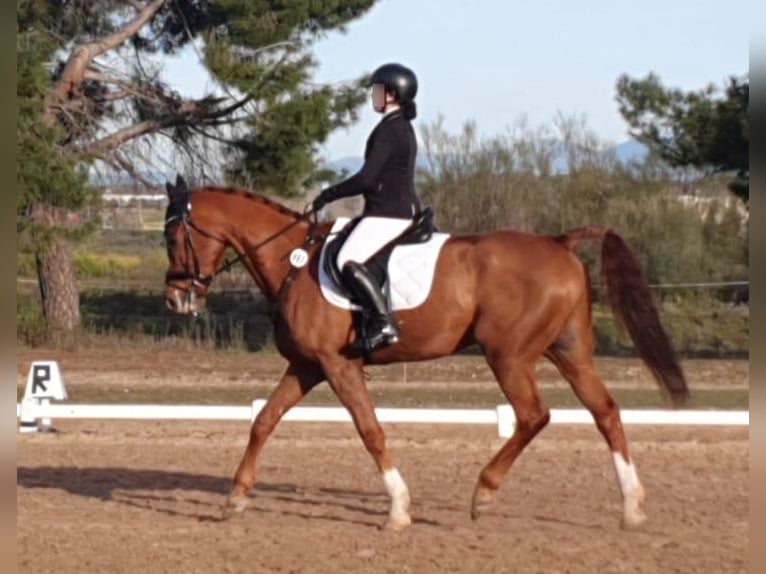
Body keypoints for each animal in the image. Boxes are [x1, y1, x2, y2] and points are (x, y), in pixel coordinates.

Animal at [164, 179, 688, 532]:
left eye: (172, 238)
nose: (175, 300)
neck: (293, 259)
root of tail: (560, 242)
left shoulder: (338, 365)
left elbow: (370, 430)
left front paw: (398, 510)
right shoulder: (308, 366)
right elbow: (263, 421)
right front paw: (235, 499)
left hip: (510, 356)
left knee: (533, 415)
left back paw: (484, 493)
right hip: (568, 352)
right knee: (606, 411)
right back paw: (632, 507)